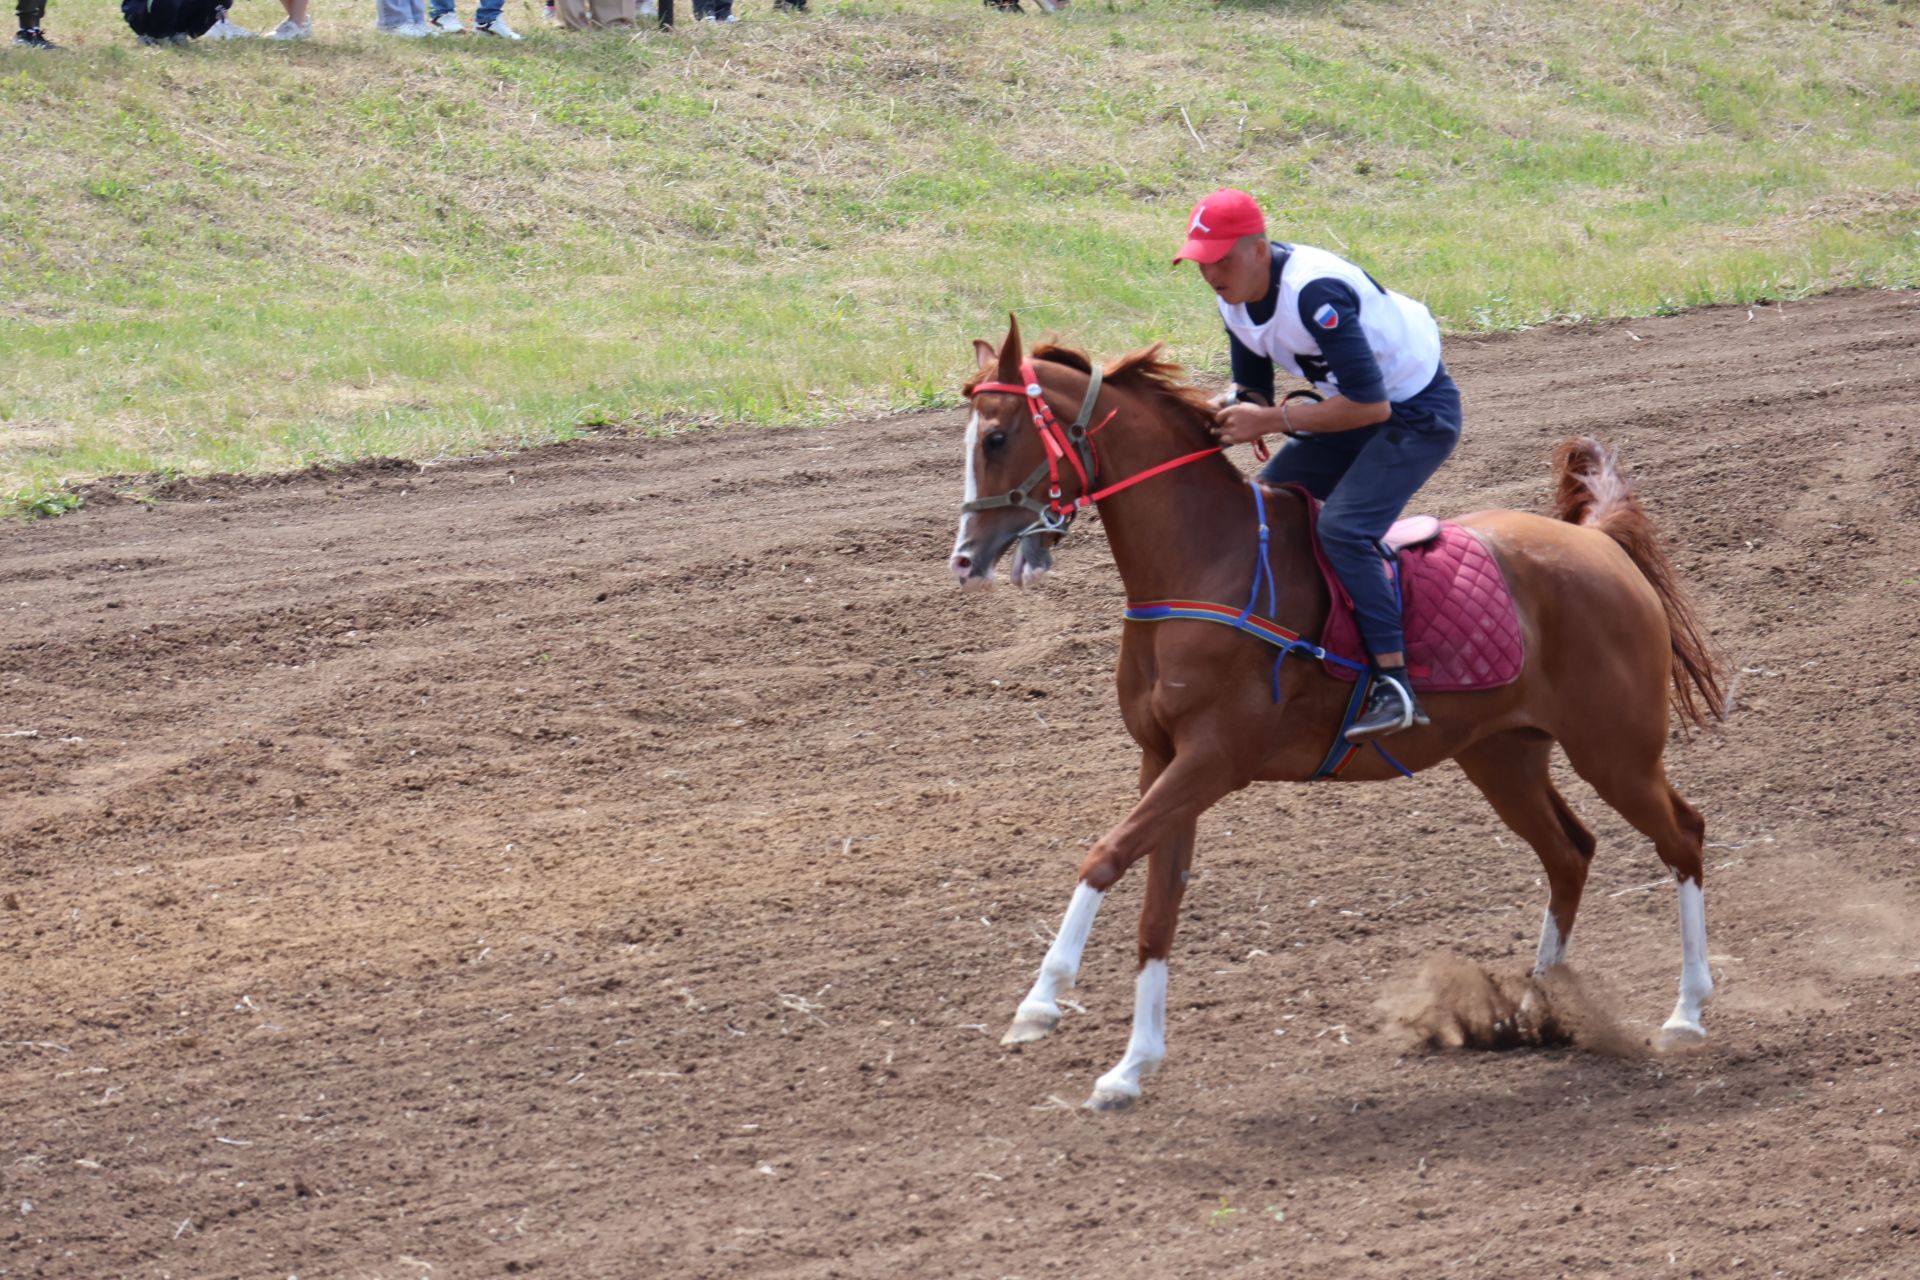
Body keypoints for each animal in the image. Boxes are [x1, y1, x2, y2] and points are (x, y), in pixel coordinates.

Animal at [952, 318, 1720, 1113]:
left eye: (998, 436)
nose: (966, 558)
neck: (1207, 563)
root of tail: (1596, 543)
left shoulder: (1214, 760)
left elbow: (1104, 855)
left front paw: (1040, 1004)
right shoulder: (1161, 759)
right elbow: (1156, 912)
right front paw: (1131, 1068)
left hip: (1615, 749)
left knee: (1683, 837)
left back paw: (1686, 1013)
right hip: (1503, 755)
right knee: (1569, 852)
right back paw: (1535, 1008)